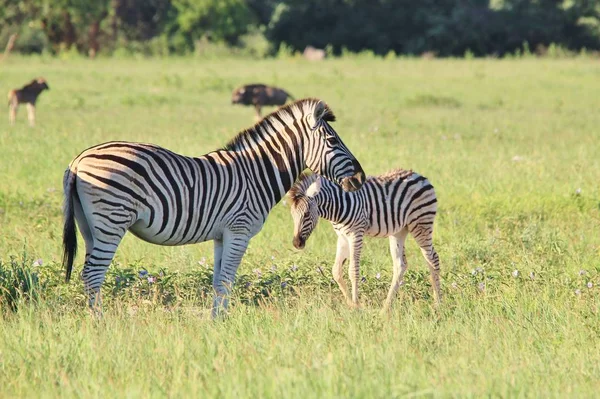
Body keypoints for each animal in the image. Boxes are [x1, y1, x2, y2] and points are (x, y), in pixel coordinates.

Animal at [62, 98, 366, 318]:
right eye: (333, 141)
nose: (361, 178)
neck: (256, 173)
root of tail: (79, 160)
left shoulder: (222, 235)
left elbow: (218, 282)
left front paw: (216, 322)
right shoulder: (239, 231)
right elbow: (228, 281)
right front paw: (224, 323)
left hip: (89, 227)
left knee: (89, 274)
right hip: (111, 221)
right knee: (93, 274)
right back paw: (99, 324)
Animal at [290, 170, 440, 314]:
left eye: (306, 214)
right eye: (292, 215)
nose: (296, 243)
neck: (337, 205)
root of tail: (419, 176)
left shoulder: (356, 234)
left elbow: (353, 271)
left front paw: (356, 305)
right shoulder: (342, 237)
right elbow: (336, 271)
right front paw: (351, 304)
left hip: (421, 224)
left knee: (433, 259)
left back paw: (438, 304)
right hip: (399, 231)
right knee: (400, 265)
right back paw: (385, 308)